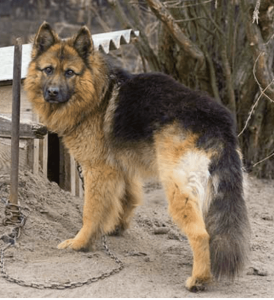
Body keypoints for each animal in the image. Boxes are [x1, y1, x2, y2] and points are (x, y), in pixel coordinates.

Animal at [24, 22, 249, 292]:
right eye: (48, 70)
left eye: (70, 73)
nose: (53, 92)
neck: (96, 95)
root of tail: (218, 121)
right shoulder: (122, 168)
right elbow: (127, 198)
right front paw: (115, 228)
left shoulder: (97, 170)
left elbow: (90, 212)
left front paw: (81, 243)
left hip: (177, 188)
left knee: (200, 233)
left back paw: (199, 279)